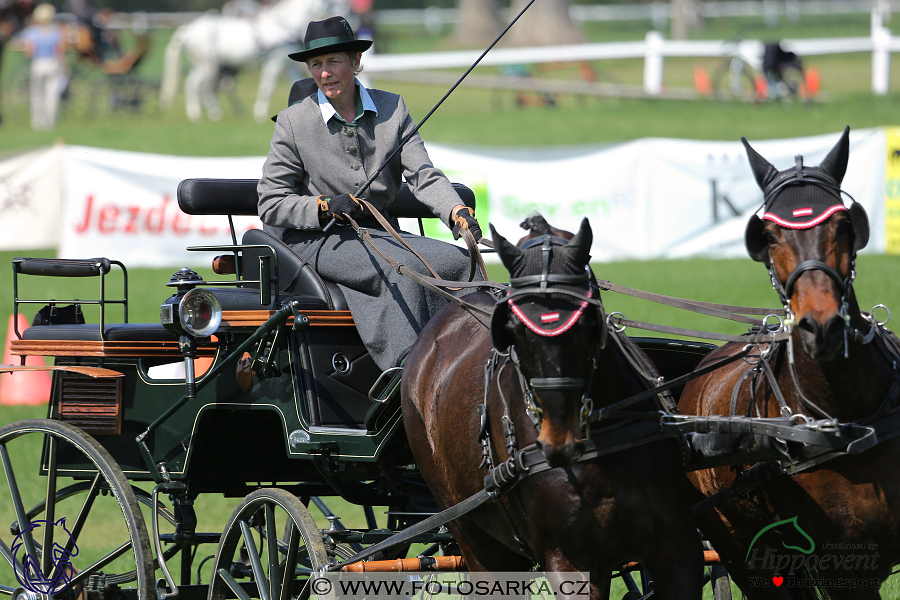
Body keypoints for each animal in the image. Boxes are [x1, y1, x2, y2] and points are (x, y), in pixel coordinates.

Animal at [160, 0, 346, 123]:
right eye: (332, 4)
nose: (347, 16)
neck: (283, 25)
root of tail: (187, 29)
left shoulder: (286, 64)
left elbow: (294, 81)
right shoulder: (275, 63)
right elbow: (267, 87)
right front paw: (260, 112)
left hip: (203, 67)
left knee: (204, 87)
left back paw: (216, 111)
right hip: (208, 67)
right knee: (194, 86)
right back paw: (198, 114)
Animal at [400, 217, 704, 600]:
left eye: (588, 322)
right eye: (514, 330)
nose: (558, 441)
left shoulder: (679, 547)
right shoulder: (570, 562)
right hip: (469, 531)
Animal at [684, 124, 900, 596]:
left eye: (844, 224)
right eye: (767, 235)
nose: (821, 326)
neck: (847, 420)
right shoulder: (844, 572)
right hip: (743, 549)